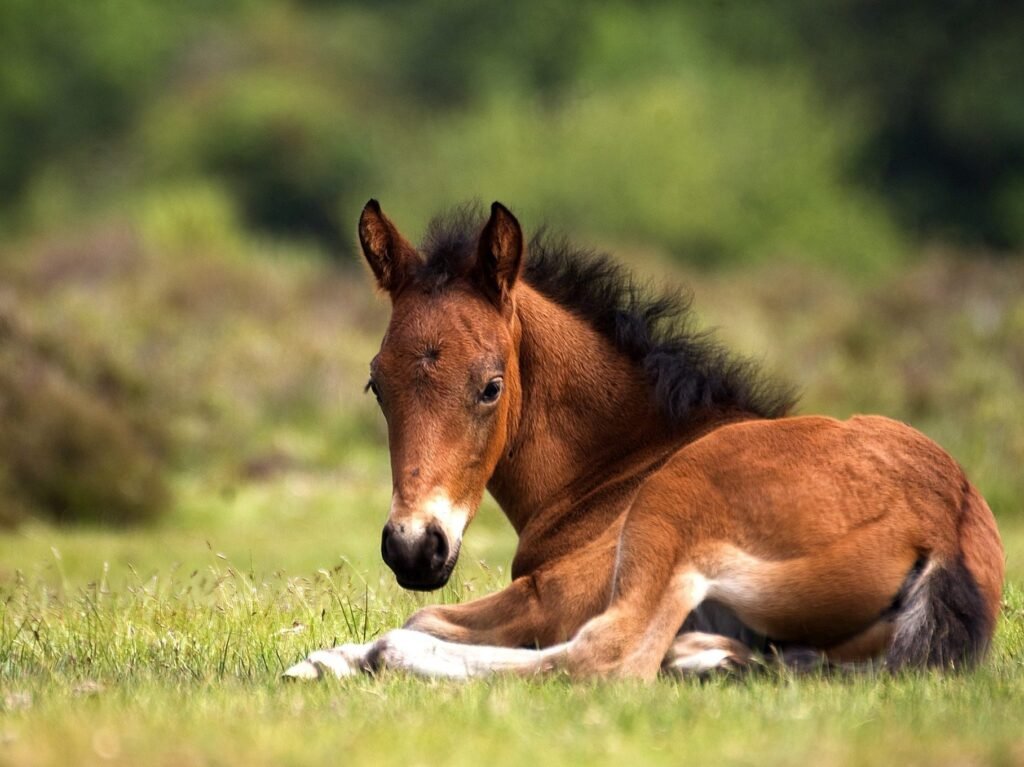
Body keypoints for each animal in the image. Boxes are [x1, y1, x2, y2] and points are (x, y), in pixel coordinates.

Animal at [284, 200, 1004, 681]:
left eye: (490, 386)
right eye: (376, 385)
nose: (414, 547)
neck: (622, 461)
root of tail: (945, 526)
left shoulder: (552, 595)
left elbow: (424, 618)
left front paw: (344, 656)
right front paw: (326, 660)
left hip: (669, 520)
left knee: (607, 657)